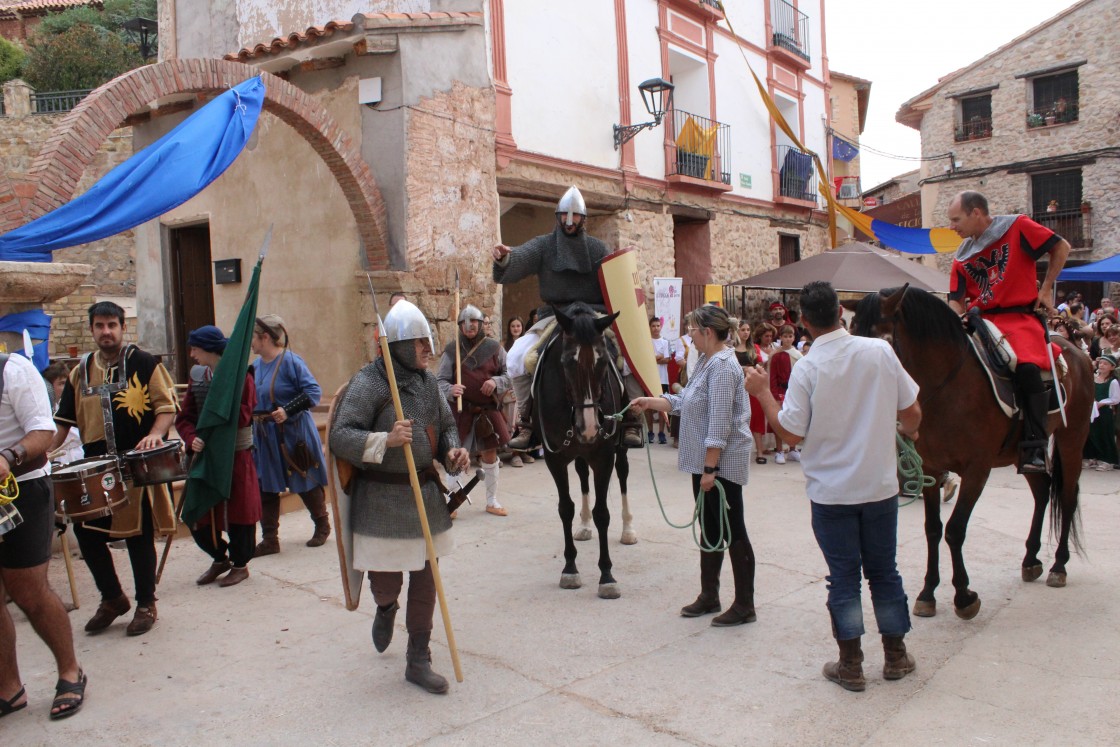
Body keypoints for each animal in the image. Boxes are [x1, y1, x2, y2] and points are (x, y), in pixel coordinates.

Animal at [535, 300, 627, 600]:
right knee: (582, 475)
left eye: (603, 362)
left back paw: (628, 529)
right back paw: (584, 526)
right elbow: (566, 508)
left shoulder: (603, 456)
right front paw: (570, 569)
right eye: (566, 362)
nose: (588, 428)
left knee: (623, 475)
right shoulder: (554, 458)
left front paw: (607, 575)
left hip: (619, 448)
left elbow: (603, 513)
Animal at [851, 286, 1088, 618]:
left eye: (882, 342)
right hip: (1024, 452)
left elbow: (955, 529)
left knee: (1066, 497)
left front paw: (964, 596)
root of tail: (1076, 351)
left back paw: (1059, 565)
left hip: (1072, 439)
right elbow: (933, 529)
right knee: (1042, 492)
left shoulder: (977, 470)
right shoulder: (931, 469)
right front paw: (928, 592)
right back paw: (1031, 559)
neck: (948, 386)